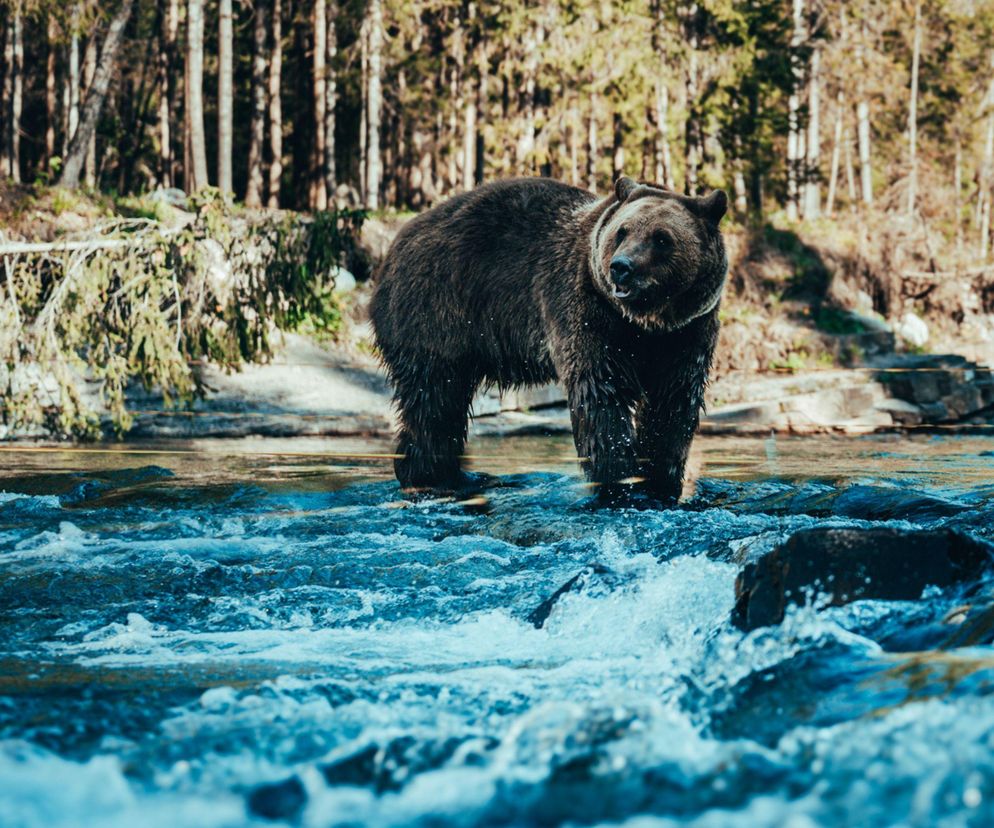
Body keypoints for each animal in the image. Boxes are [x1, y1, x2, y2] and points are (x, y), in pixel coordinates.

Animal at [368, 177, 724, 502]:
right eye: (622, 231)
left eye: (661, 238)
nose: (621, 267)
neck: (644, 322)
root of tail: (395, 246)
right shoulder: (587, 309)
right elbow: (601, 392)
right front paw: (618, 483)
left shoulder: (688, 330)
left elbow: (673, 402)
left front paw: (660, 483)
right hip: (436, 307)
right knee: (435, 398)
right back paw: (433, 479)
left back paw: (455, 477)